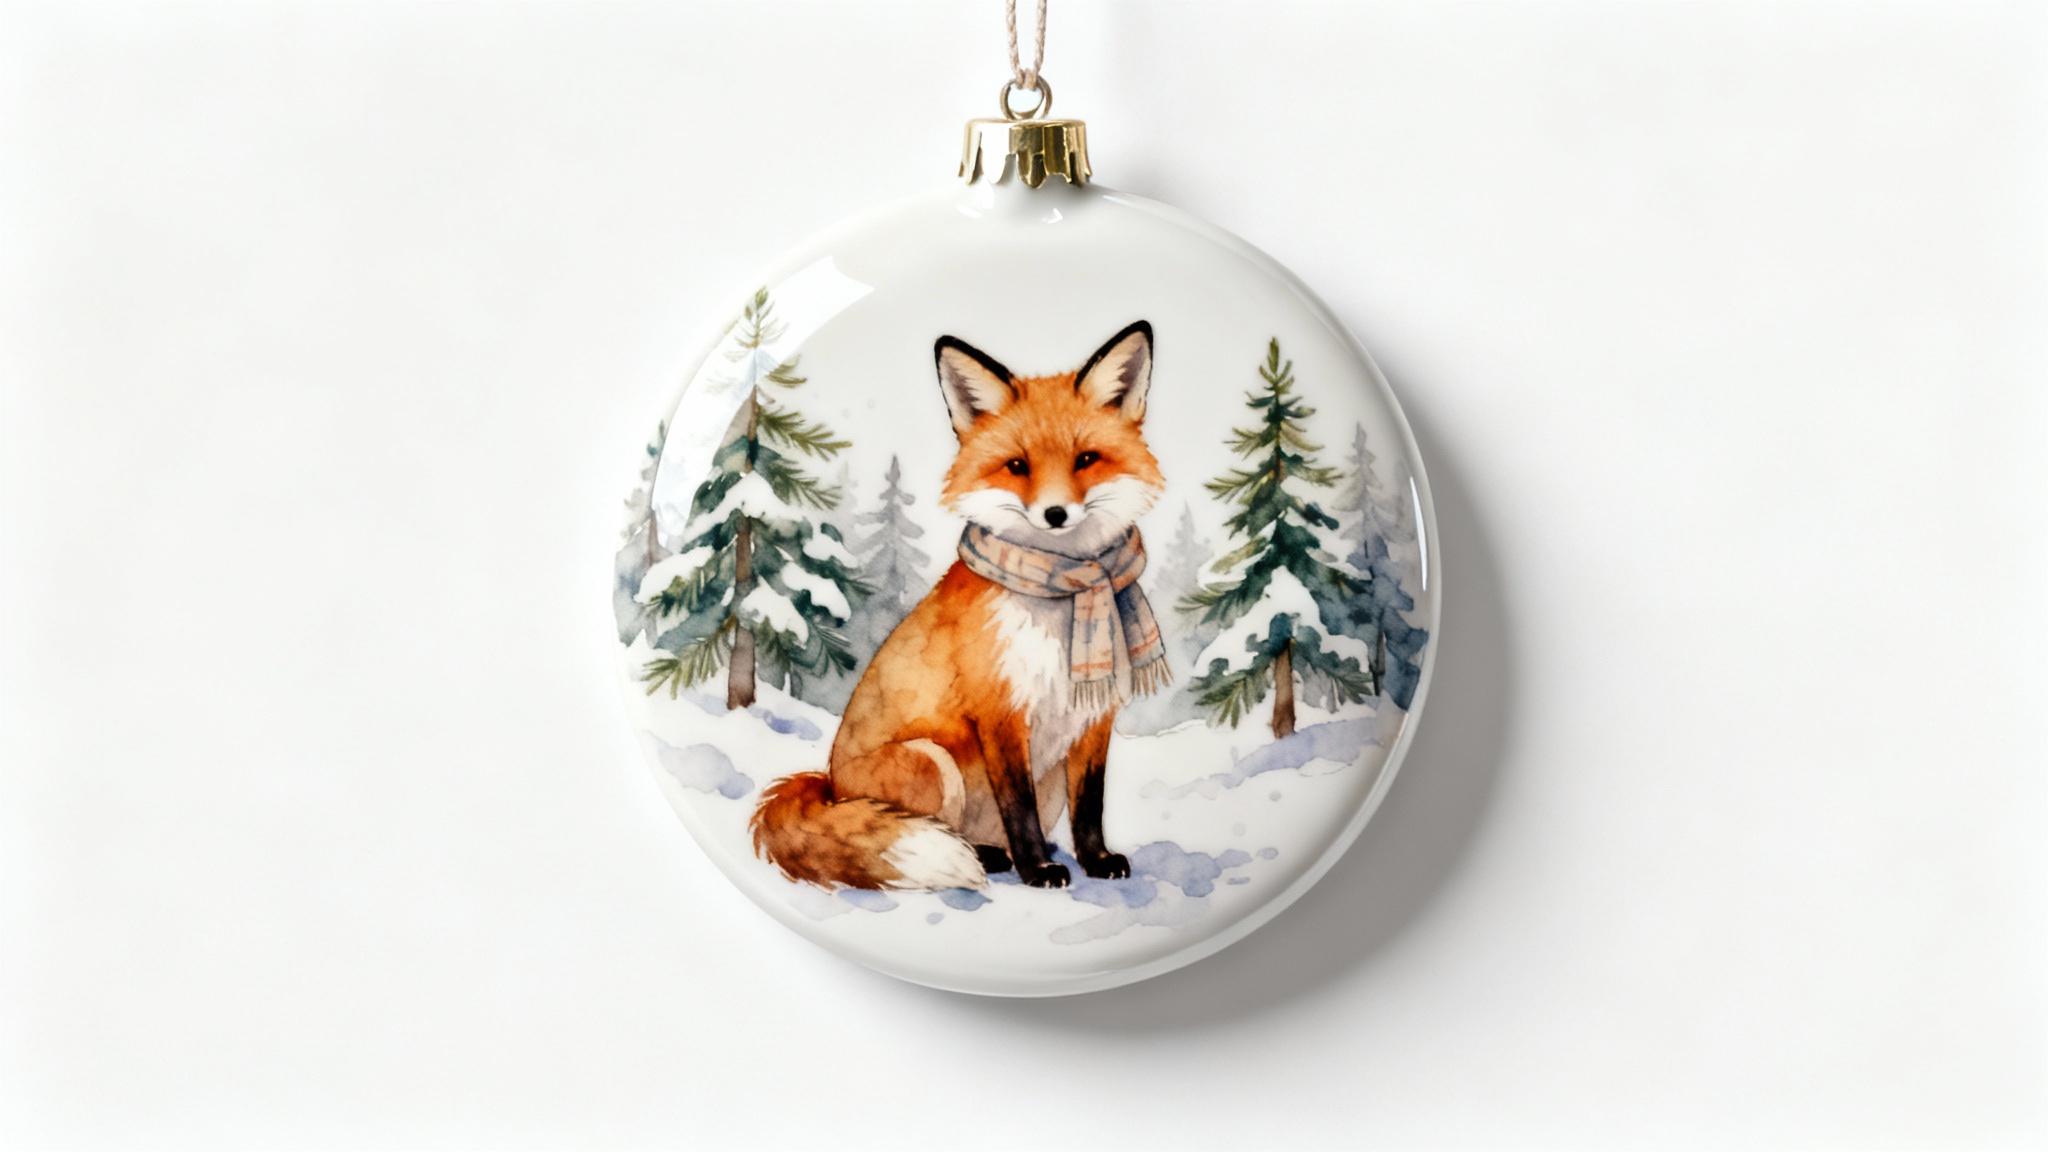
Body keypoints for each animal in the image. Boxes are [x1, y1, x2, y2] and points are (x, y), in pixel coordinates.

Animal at [749, 321, 1170, 890]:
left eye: (1086, 459)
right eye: (1017, 467)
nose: (1055, 514)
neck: (1062, 596)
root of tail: (830, 786)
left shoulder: (1092, 718)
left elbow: (1090, 804)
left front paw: (1097, 860)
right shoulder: (1000, 712)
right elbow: (1018, 807)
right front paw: (1038, 870)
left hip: (1045, 782)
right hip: (934, 762)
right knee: (936, 830)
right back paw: (988, 860)